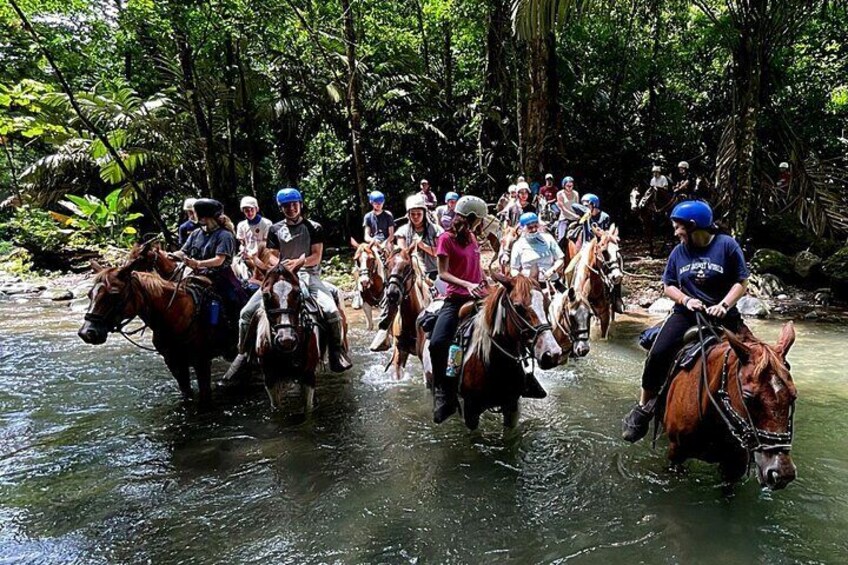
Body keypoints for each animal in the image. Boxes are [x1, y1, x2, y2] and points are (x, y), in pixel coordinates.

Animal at [78, 249, 235, 404]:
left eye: (114, 294)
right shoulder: (175, 364)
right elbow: (186, 393)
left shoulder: (202, 362)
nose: (87, 332)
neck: (175, 315)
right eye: (89, 294)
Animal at [253, 258, 322, 412]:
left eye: (297, 294)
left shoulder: (309, 376)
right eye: (265, 295)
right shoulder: (270, 379)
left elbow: (308, 410)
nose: (286, 340)